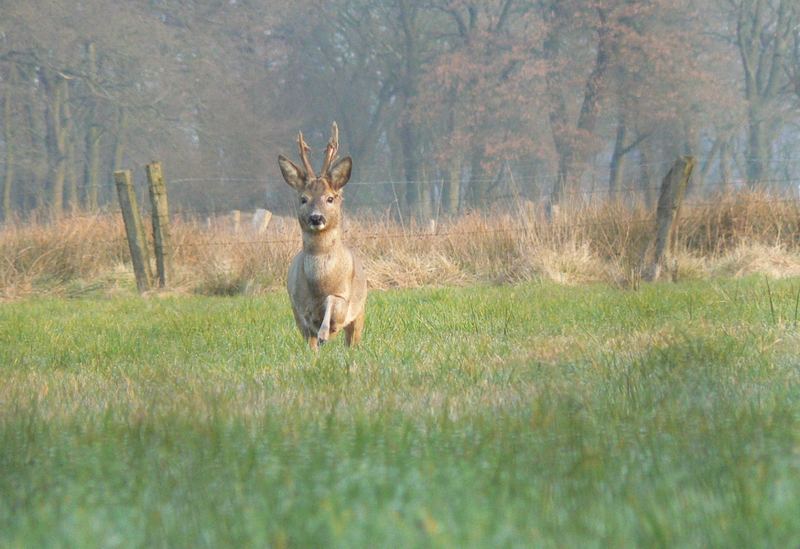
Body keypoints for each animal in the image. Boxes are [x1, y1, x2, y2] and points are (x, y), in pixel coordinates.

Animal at [276, 122, 368, 348]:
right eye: (303, 199)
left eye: (330, 198)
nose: (316, 218)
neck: (320, 282)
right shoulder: (298, 305)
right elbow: (308, 325)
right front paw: (321, 336)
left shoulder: (343, 297)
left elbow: (332, 303)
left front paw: (326, 332)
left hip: (360, 312)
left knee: (352, 340)